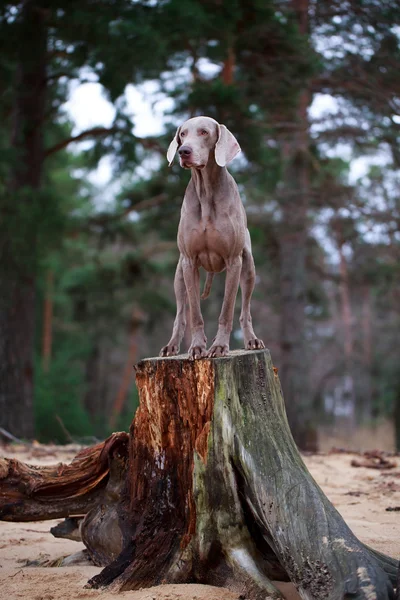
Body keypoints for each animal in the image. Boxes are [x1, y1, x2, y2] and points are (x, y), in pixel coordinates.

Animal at [161, 118, 264, 360]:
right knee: (180, 314)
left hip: (249, 267)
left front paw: (219, 347)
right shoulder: (189, 262)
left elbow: (227, 310)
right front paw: (198, 347)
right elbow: (194, 314)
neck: (206, 192)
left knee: (245, 310)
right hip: (178, 275)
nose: (183, 151)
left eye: (204, 132)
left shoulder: (234, 261)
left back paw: (251, 340)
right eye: (182, 134)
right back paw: (171, 346)